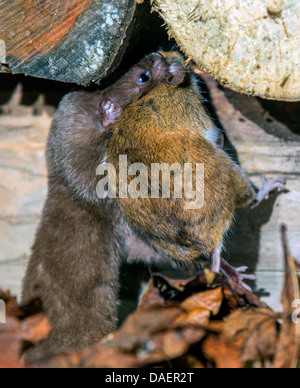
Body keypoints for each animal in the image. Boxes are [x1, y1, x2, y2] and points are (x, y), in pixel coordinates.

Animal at [108, 53, 286, 292]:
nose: (181, 56)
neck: (163, 88)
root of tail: (205, 240)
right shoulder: (200, 116)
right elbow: (217, 136)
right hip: (232, 173)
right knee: (252, 201)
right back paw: (270, 185)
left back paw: (236, 277)